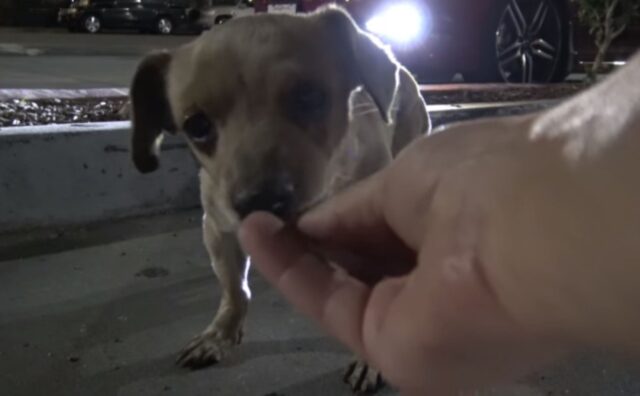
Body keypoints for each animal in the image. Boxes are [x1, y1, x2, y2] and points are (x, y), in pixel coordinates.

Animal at [129, 5, 430, 392]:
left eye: (309, 97)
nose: (261, 201)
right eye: (196, 125)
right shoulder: (218, 228)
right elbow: (234, 288)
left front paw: (371, 358)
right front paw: (221, 333)